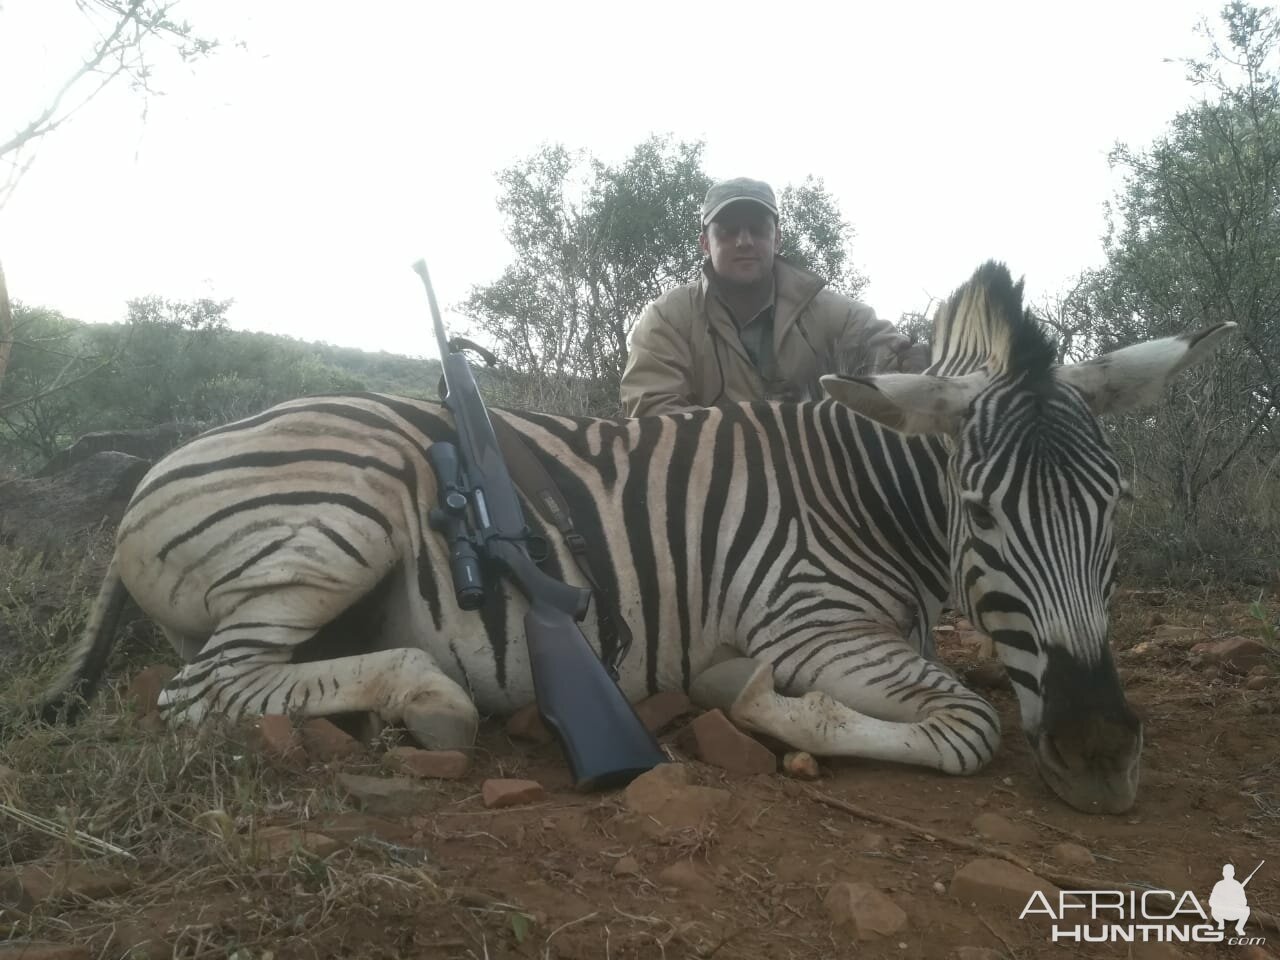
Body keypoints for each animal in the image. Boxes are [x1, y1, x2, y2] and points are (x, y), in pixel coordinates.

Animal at [40, 264, 1233, 819]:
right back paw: (428, 699)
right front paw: (750, 703)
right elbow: (961, 727)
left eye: (1116, 505)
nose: (1098, 753)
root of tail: (163, 462)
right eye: (979, 513)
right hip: (352, 509)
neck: (860, 488)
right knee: (204, 692)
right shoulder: (812, 628)